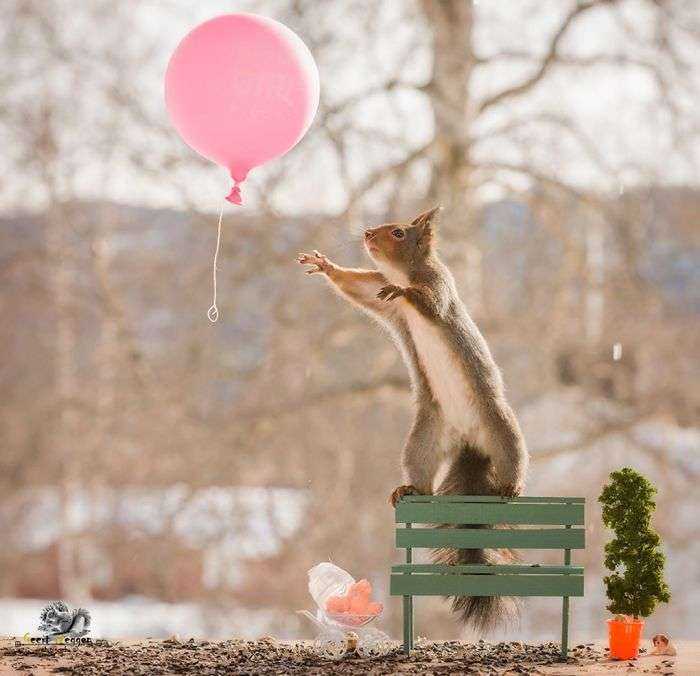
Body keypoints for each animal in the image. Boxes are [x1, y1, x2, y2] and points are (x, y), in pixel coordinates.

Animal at [298, 206, 529, 632]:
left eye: (400, 233)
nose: (368, 233)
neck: (404, 274)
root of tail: (470, 444)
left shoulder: (439, 286)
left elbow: (429, 304)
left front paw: (407, 294)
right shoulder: (378, 291)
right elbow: (356, 287)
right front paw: (325, 265)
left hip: (497, 423)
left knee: (512, 453)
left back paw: (512, 485)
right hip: (425, 436)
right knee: (423, 473)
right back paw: (410, 489)